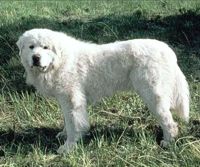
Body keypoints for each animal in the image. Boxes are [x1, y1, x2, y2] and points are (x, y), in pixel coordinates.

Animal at [16, 28, 189, 154]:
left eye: (45, 47)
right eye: (31, 47)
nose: (36, 58)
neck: (59, 61)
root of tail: (167, 50)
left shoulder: (72, 100)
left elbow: (74, 124)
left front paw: (68, 147)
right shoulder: (64, 100)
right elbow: (67, 120)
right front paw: (63, 134)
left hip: (152, 95)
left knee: (168, 121)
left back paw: (168, 142)